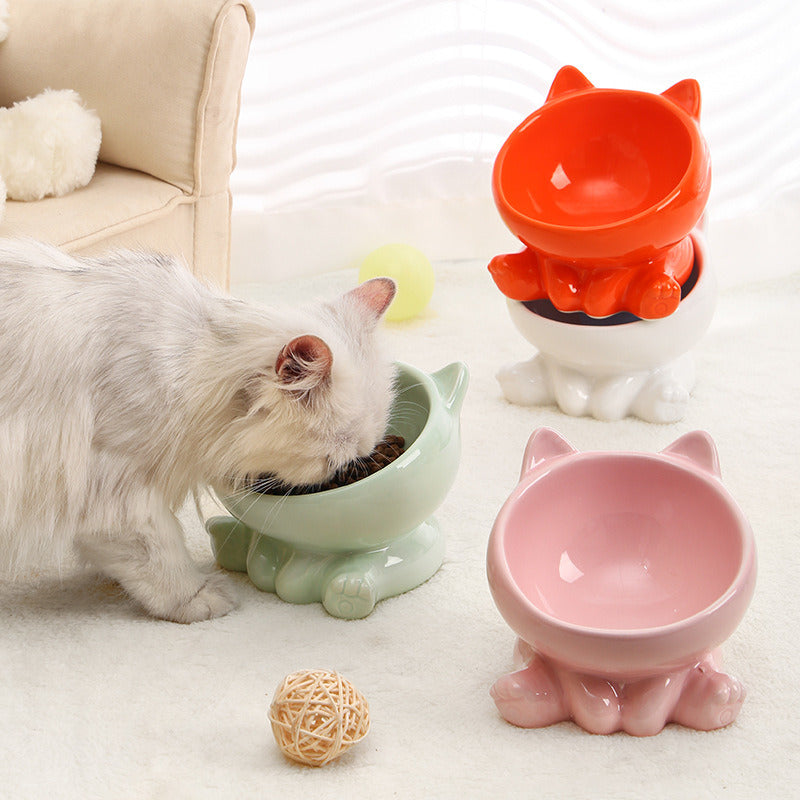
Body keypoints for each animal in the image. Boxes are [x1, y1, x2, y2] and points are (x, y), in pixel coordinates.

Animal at [0, 241, 396, 620]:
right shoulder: (115, 490)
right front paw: (198, 599)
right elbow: (164, 557)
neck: (195, 363)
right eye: (331, 459)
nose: (337, 476)